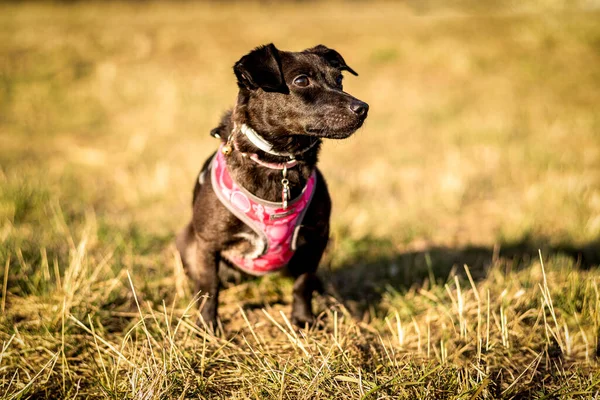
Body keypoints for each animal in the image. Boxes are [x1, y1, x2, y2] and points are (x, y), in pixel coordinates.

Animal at [176, 43, 368, 328]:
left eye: (340, 79)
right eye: (301, 80)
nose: (363, 107)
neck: (281, 163)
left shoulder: (315, 240)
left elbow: (303, 284)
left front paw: (303, 320)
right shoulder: (208, 244)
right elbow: (209, 288)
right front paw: (207, 327)